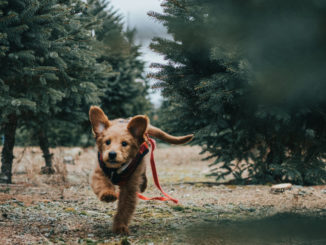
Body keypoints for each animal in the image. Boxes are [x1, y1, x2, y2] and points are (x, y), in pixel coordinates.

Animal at [88, 106, 192, 235]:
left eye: (124, 143)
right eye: (107, 142)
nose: (112, 154)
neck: (117, 168)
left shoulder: (130, 187)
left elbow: (124, 208)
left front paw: (120, 226)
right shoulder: (98, 171)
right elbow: (102, 184)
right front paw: (108, 194)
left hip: (141, 163)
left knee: (144, 172)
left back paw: (143, 184)